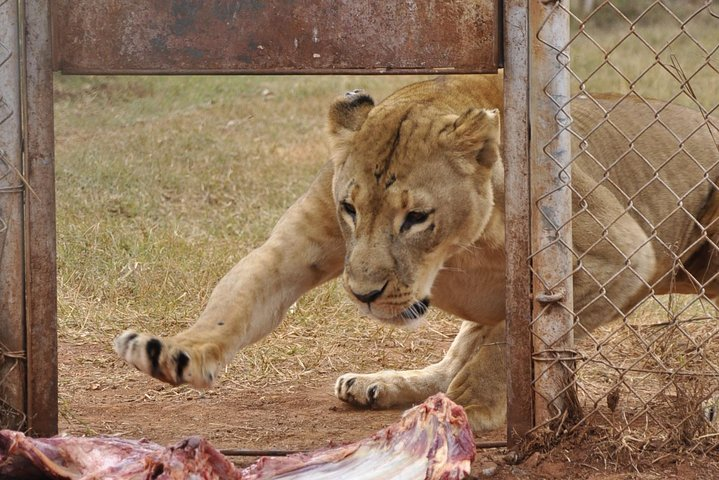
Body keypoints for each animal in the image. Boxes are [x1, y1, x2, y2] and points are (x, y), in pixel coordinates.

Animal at [114, 74, 719, 431]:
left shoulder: (617, 259)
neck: (457, 249)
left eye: (416, 218)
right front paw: (174, 352)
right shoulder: (299, 244)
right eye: (350, 208)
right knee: (454, 354)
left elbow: (508, 339)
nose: (363, 294)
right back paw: (376, 385)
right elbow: (236, 299)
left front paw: (471, 406)